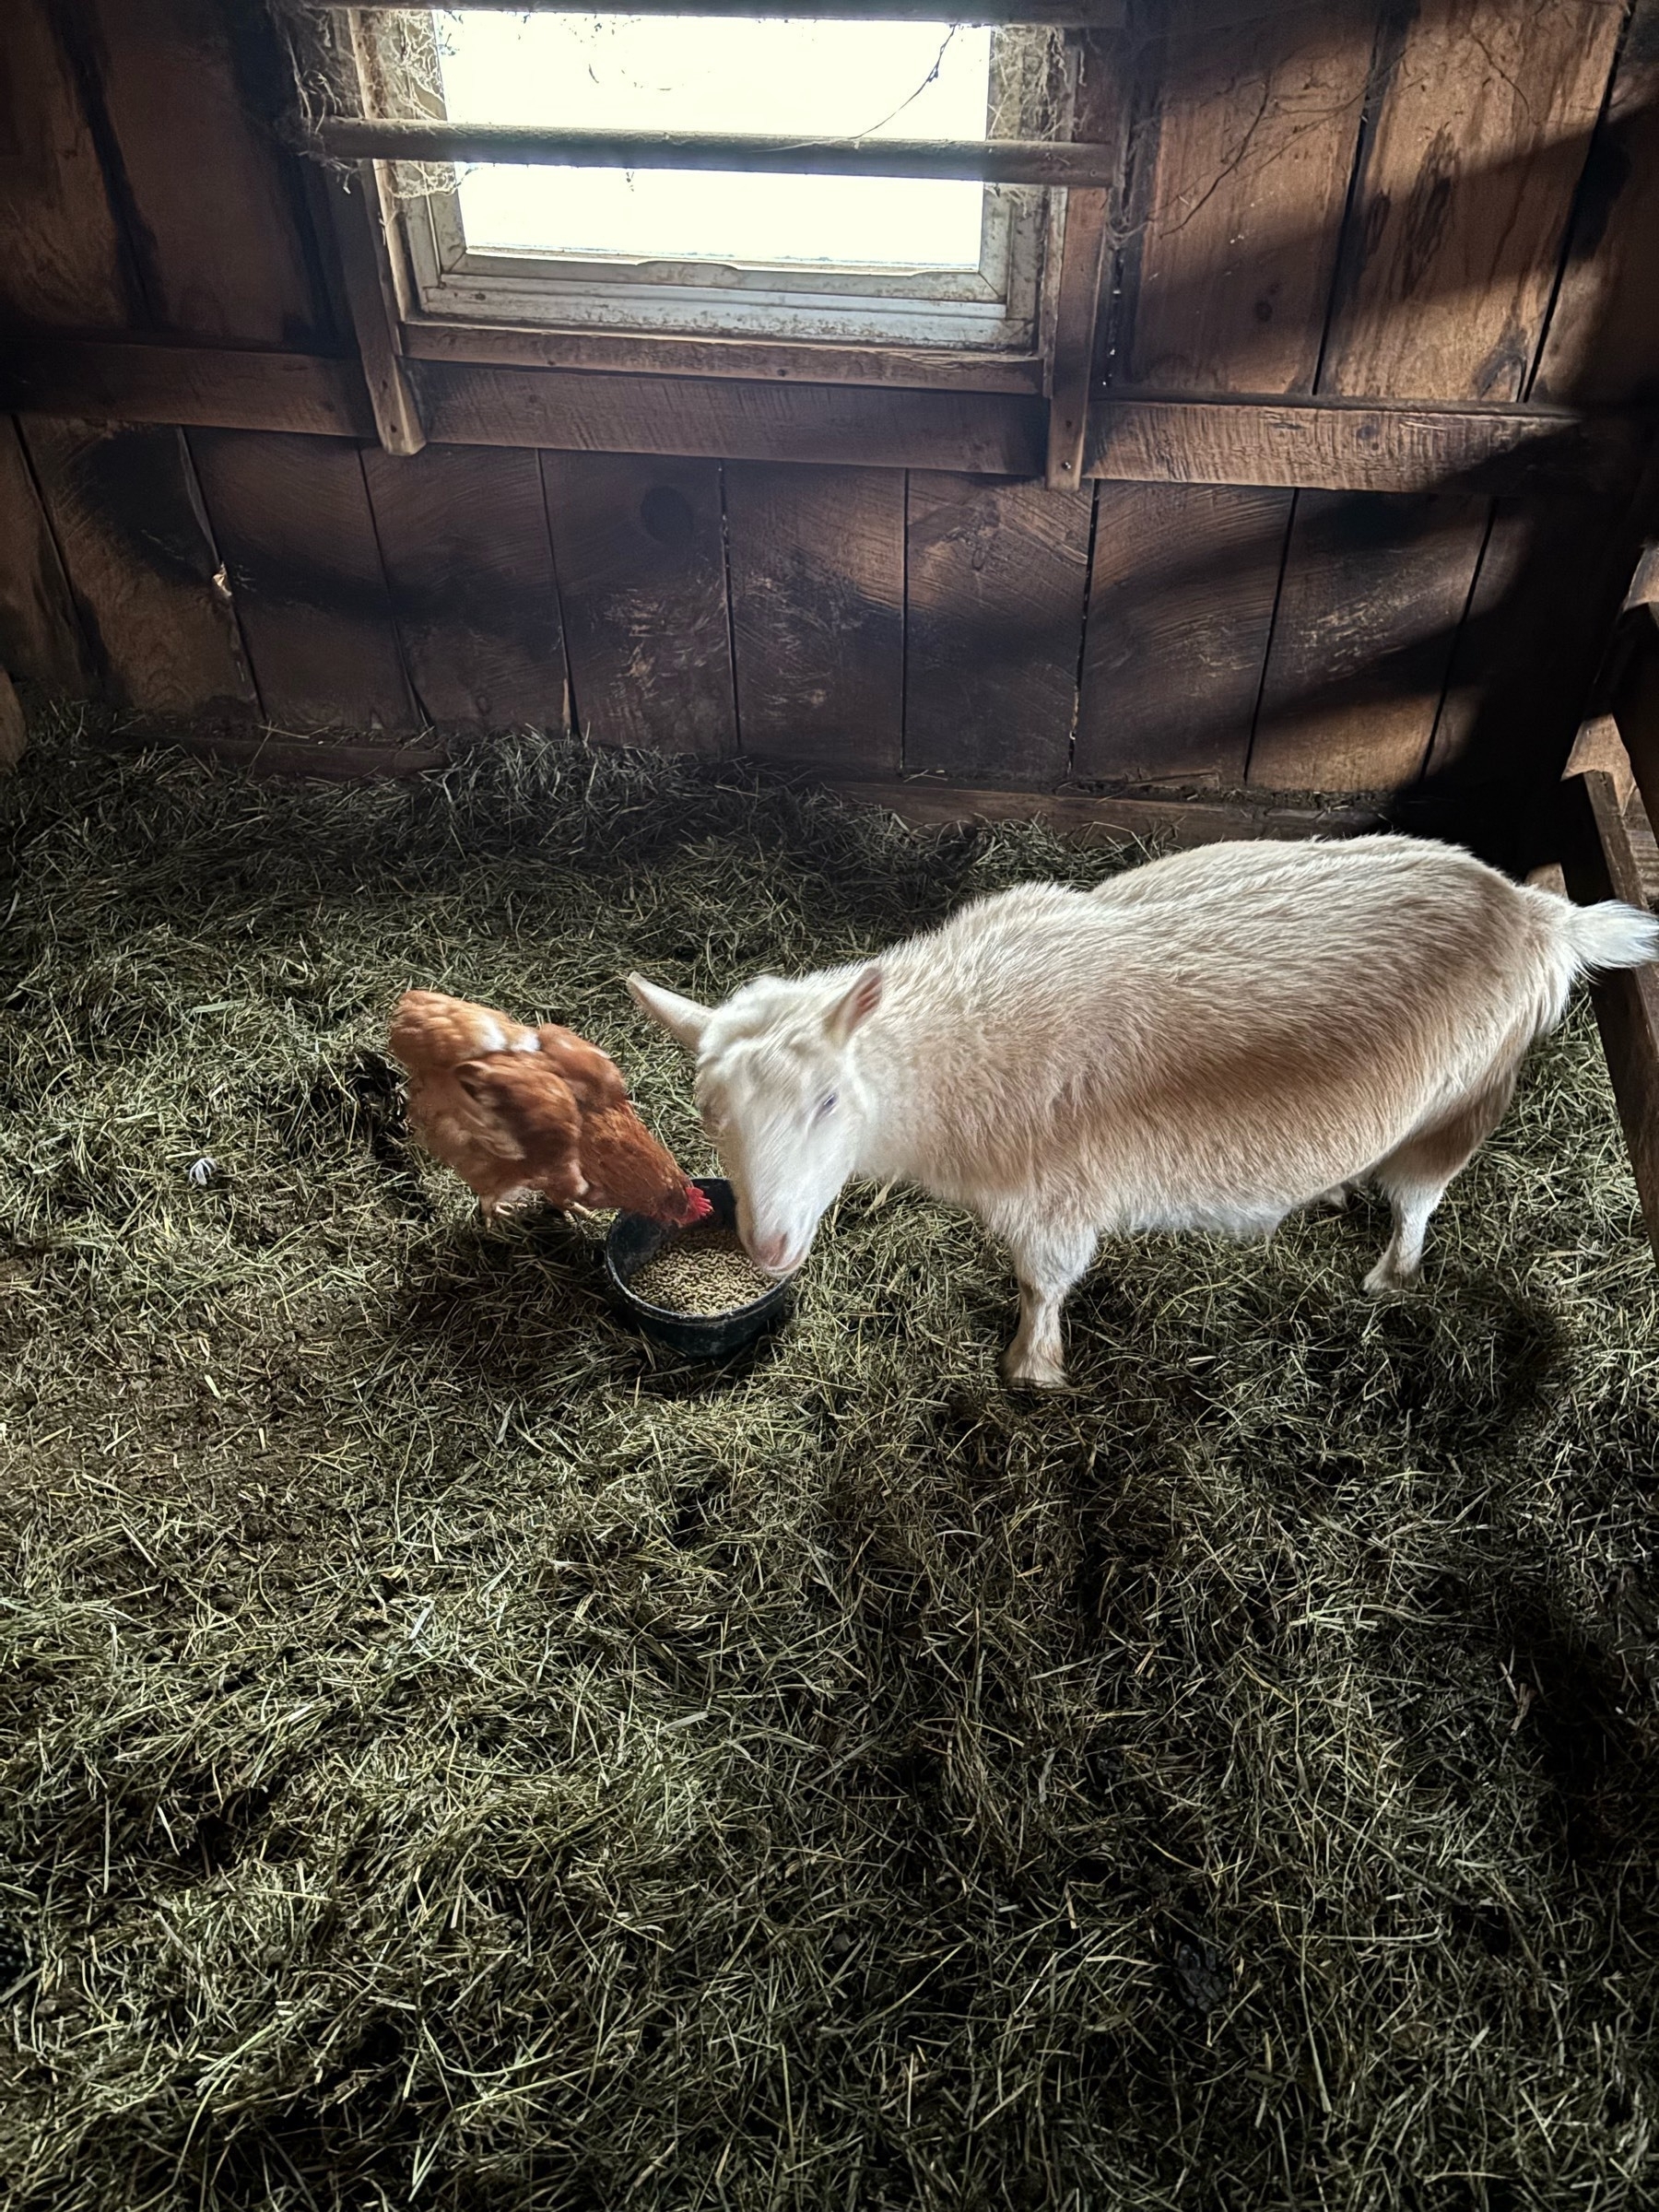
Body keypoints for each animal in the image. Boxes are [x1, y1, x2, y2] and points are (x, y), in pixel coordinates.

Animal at [628, 841, 1659, 1380]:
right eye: (708, 1108)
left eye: (830, 1099)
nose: (764, 1249)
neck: (952, 1046)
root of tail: (1541, 914)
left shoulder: (1056, 1203)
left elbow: (1043, 1285)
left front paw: (1030, 1369)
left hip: (1462, 1100)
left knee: (1418, 1200)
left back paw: (1388, 1273)